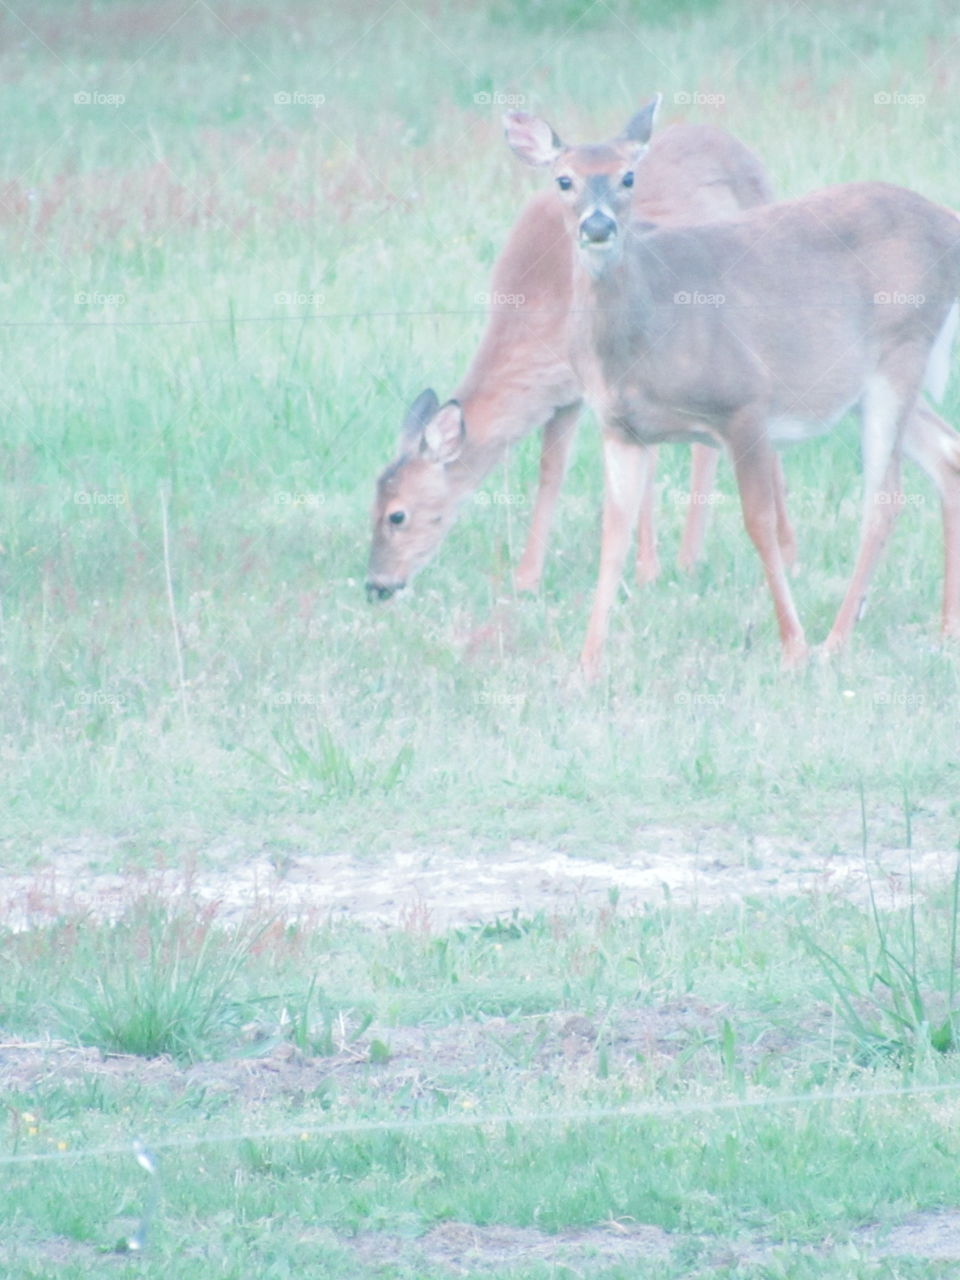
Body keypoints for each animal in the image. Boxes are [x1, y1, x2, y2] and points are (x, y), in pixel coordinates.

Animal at [366, 120, 796, 603]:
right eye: (371, 505)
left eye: (397, 514)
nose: (376, 584)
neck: (537, 301)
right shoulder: (563, 392)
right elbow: (551, 471)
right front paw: (527, 577)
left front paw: (646, 572)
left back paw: (761, 553)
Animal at [503, 98, 960, 678]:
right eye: (564, 179)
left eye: (629, 176)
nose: (599, 225)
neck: (646, 337)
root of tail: (949, 222)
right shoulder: (620, 429)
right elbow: (613, 536)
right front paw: (586, 665)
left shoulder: (744, 403)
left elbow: (758, 522)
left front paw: (793, 646)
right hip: (865, 381)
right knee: (946, 453)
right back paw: (945, 628)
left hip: (901, 350)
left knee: (885, 498)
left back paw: (835, 640)